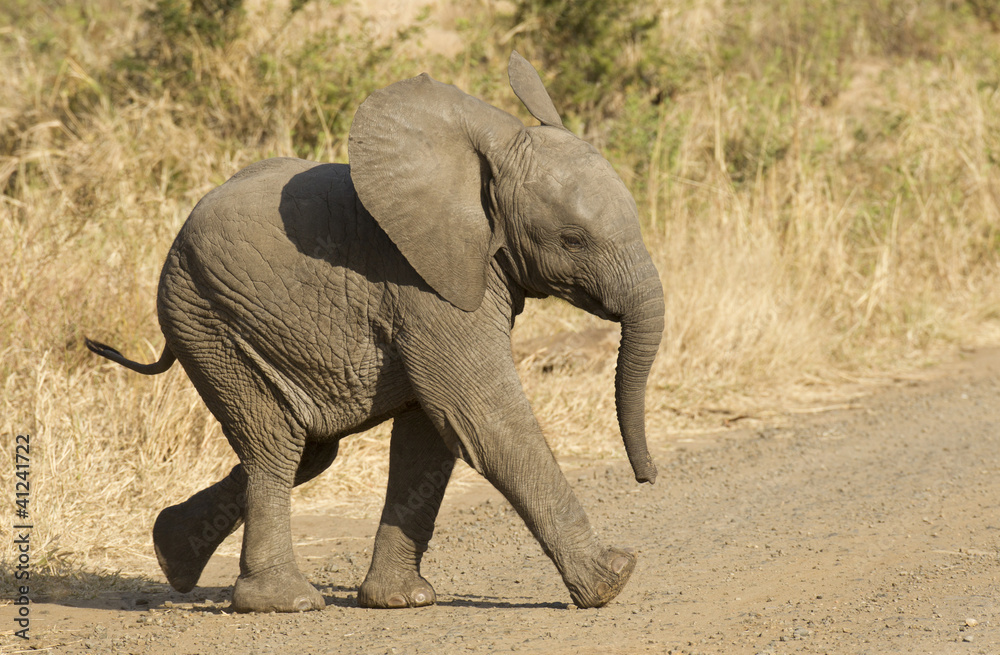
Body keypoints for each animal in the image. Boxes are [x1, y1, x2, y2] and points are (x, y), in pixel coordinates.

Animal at [86, 52, 665, 613]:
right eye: (573, 240)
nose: (648, 478)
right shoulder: (422, 284)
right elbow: (481, 415)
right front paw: (612, 581)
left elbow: (430, 433)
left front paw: (402, 601)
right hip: (208, 318)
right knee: (276, 444)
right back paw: (283, 602)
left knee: (307, 450)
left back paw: (172, 554)